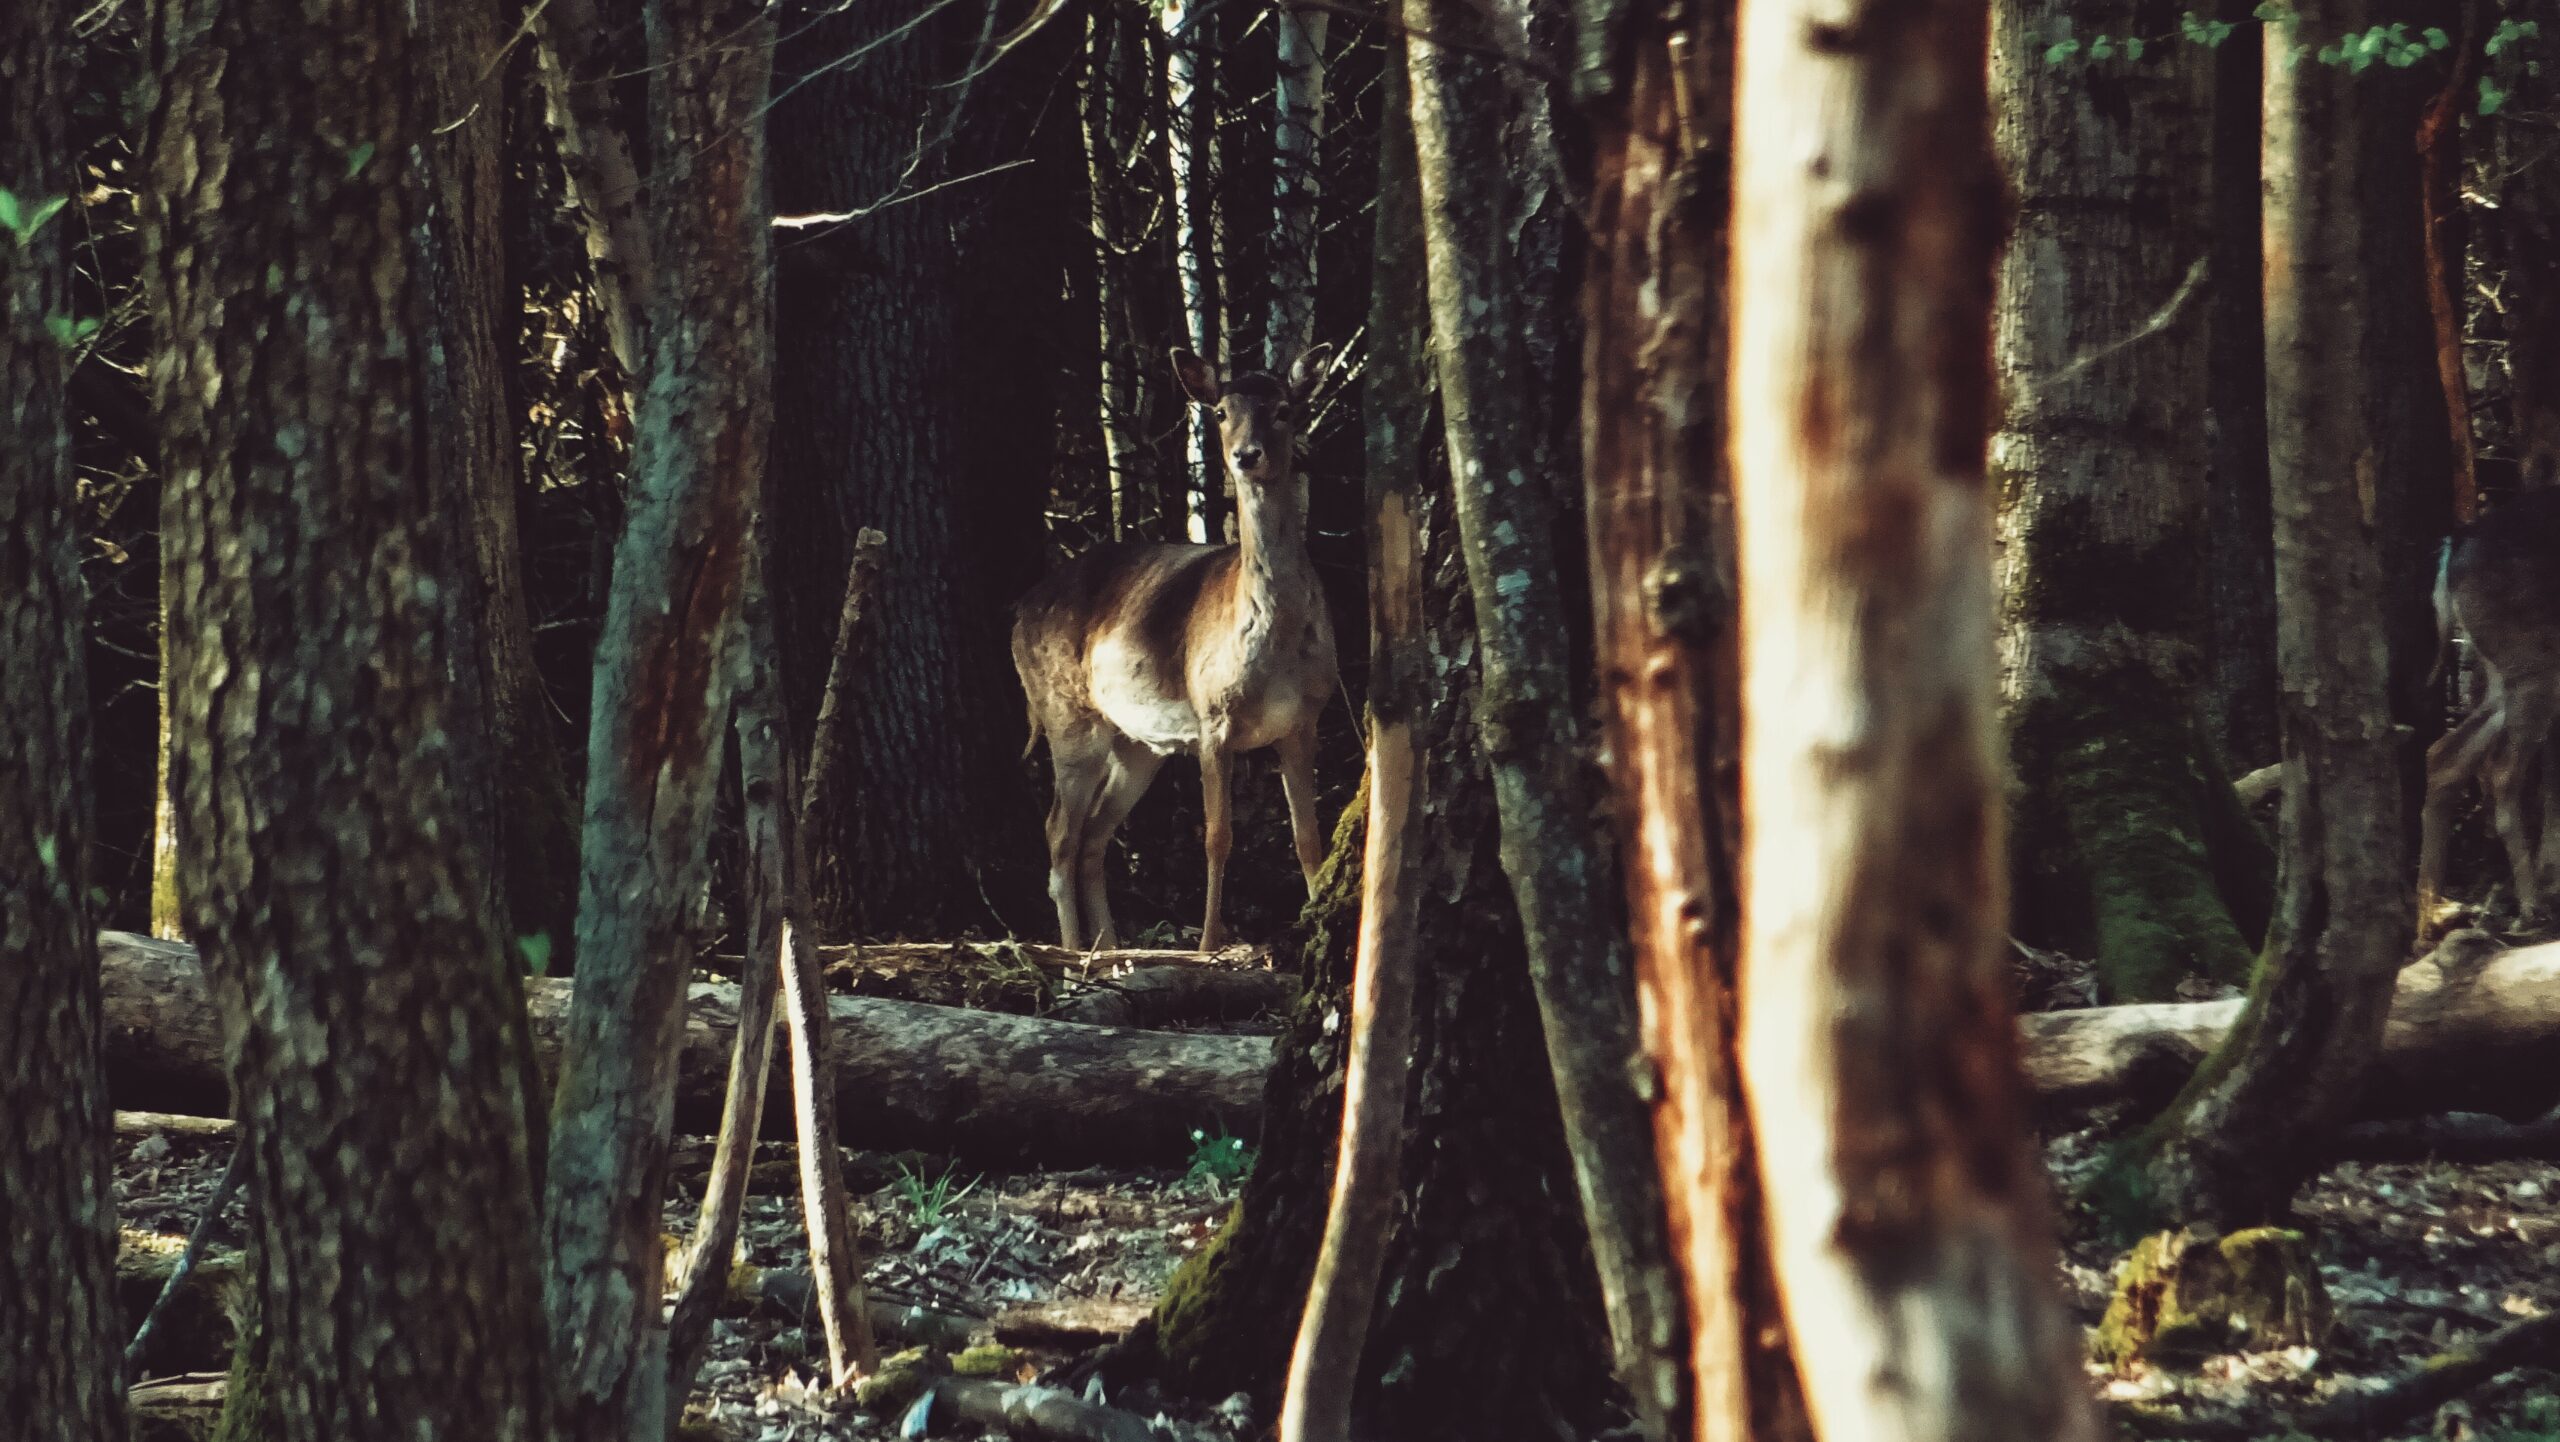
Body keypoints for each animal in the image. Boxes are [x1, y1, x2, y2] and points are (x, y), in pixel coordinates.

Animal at [1012, 343, 1337, 953]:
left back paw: (1108, 947)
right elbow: (1217, 835)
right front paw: (1209, 946)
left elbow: (1309, 840)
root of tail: (1019, 610)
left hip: (1138, 745)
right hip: (1067, 716)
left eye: (1284, 409)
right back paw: (1074, 949)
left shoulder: (1304, 720)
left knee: (1093, 837)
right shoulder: (1212, 716)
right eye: (1221, 411)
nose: (1246, 455)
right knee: (1059, 832)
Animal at [2418, 484, 2560, 939]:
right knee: (2501, 769)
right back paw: (2530, 907)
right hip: (2533, 663)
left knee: (2445, 754)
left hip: (2504, 671)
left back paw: (2425, 922)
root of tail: (2457, 543)